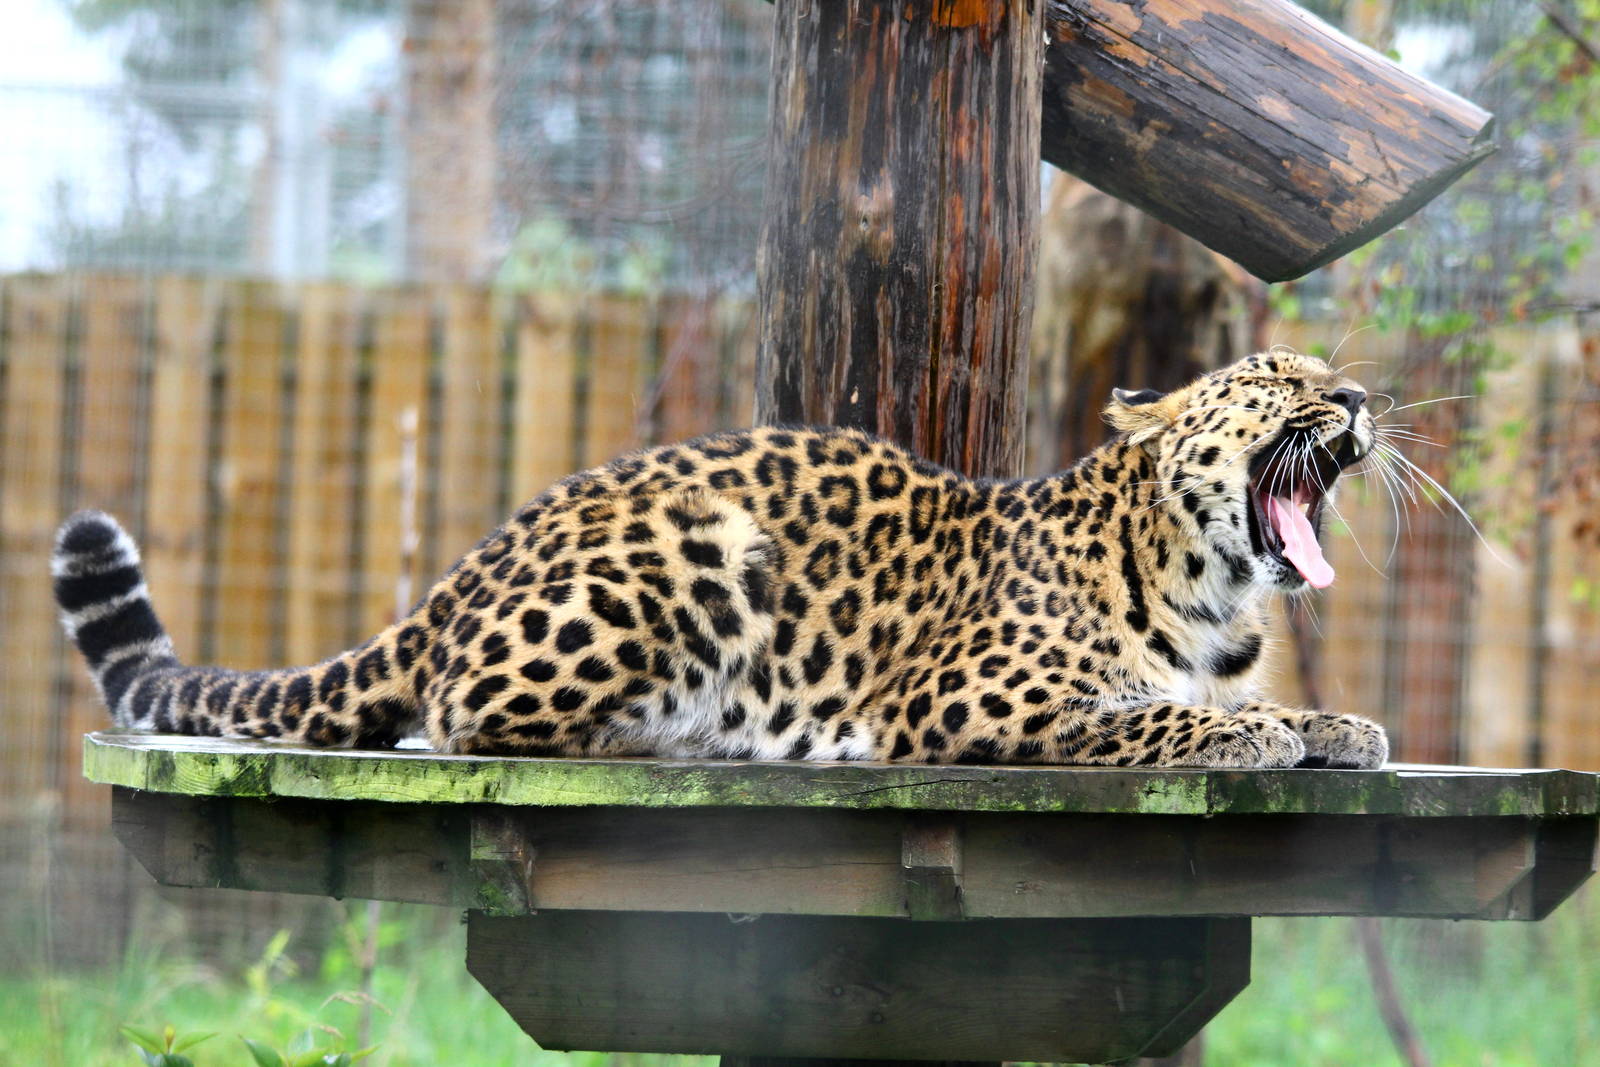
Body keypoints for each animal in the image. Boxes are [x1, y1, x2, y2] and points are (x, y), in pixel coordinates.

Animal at [53, 349, 1388, 769]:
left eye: (1331, 375)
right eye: (1278, 379)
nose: (1361, 397)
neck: (1214, 592)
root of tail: (470, 563)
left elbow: (1247, 702)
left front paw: (1336, 722)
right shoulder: (964, 698)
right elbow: (1142, 711)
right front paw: (1246, 733)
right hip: (693, 546)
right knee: (459, 713)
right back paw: (679, 733)